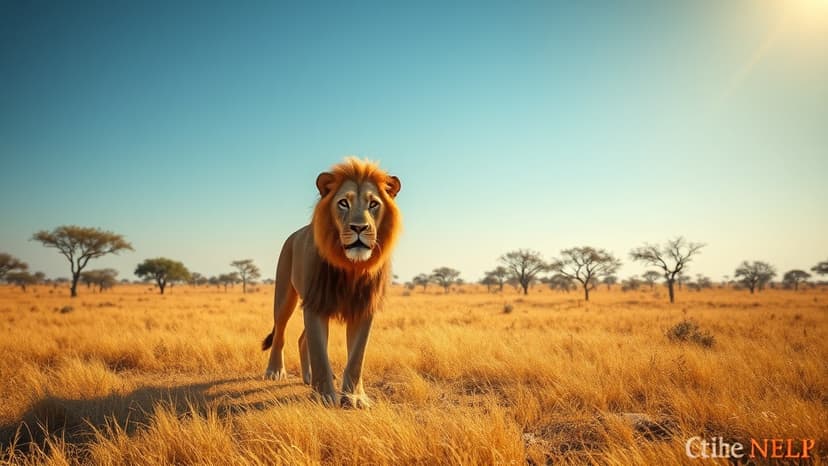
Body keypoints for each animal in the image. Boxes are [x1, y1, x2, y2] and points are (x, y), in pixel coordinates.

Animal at [261, 157, 401, 408]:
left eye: (373, 204)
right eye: (344, 203)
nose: (359, 227)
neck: (351, 267)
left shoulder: (364, 307)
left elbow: (357, 357)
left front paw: (355, 397)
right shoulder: (316, 304)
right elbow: (320, 353)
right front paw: (325, 396)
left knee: (302, 339)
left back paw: (307, 378)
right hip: (285, 294)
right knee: (280, 332)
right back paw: (275, 371)